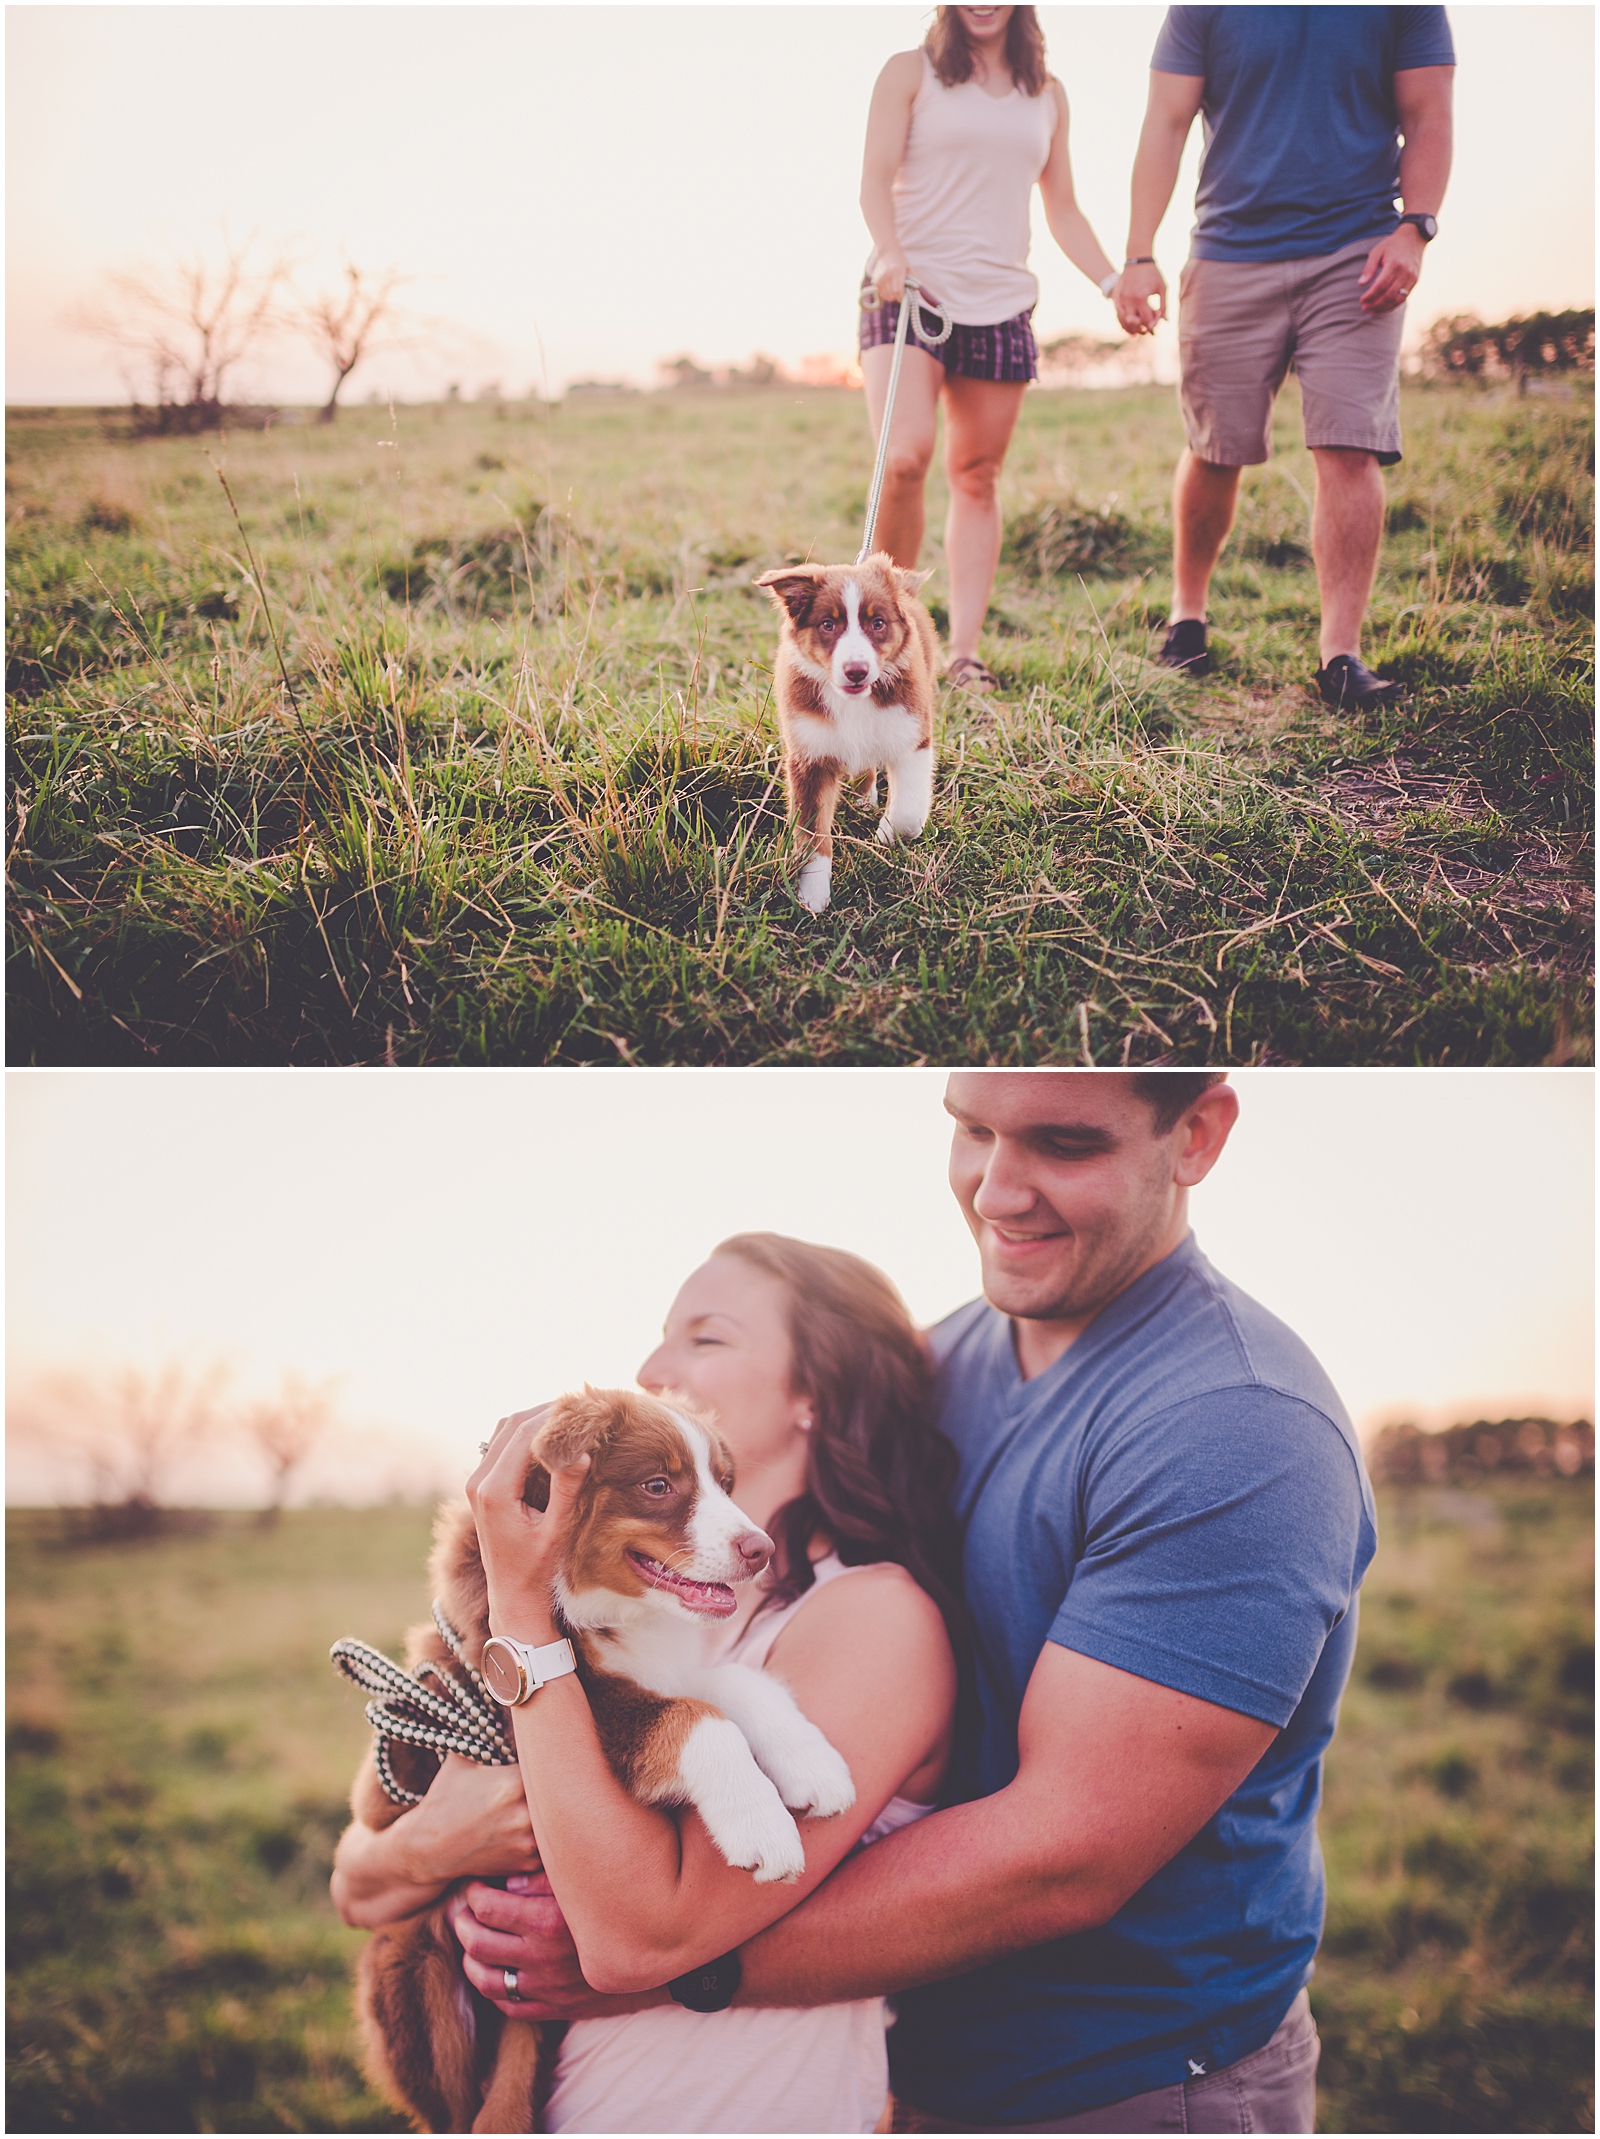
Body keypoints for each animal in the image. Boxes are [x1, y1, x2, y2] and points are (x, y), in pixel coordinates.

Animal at [346, 1394, 851, 2130]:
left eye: (725, 1483)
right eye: (658, 1485)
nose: (761, 1549)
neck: (605, 1611)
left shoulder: (658, 1671)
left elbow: (733, 1684)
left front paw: (813, 1765)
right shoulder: (579, 1710)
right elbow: (696, 1719)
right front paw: (763, 1829)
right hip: (414, 1964)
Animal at [761, 551, 945, 911]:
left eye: (878, 623)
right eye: (828, 624)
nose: (856, 671)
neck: (853, 700)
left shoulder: (912, 734)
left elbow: (909, 811)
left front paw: (888, 834)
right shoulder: (809, 755)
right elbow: (812, 834)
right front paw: (812, 895)